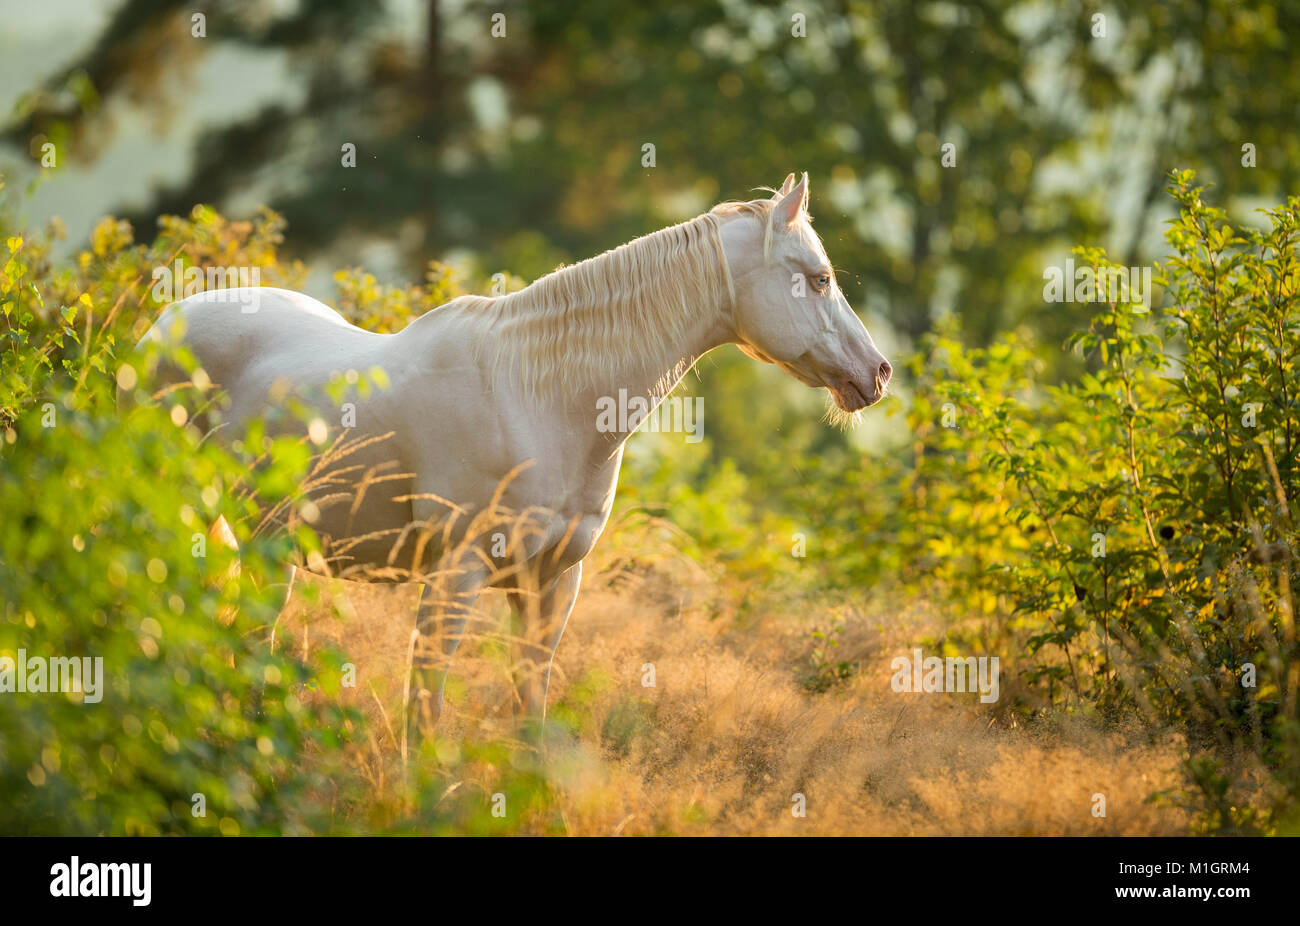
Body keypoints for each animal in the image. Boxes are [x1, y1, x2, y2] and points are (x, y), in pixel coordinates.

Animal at [142, 174, 894, 733]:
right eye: (818, 278)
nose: (878, 373)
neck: (542, 402)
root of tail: (164, 324)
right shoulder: (457, 573)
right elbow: (426, 705)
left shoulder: (551, 583)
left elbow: (529, 710)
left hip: (261, 543)